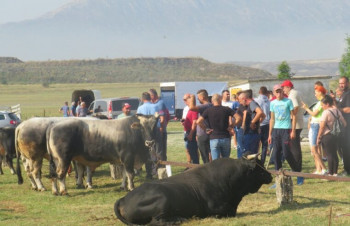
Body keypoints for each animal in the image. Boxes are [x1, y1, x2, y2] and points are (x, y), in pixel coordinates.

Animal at [113, 154, 272, 225]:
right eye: (259, 168)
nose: (270, 175)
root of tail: (124, 198)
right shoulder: (217, 207)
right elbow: (224, 212)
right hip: (163, 200)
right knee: (156, 221)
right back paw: (179, 219)